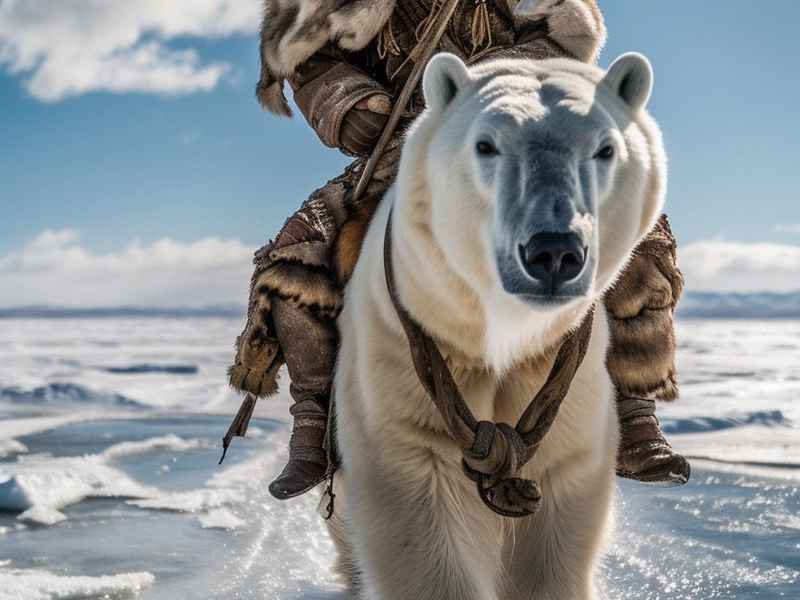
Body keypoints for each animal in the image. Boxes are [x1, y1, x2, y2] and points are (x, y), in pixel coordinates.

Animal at [327, 51, 667, 600]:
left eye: (605, 149)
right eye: (485, 145)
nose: (553, 252)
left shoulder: (564, 382)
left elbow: (553, 541)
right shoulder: (399, 367)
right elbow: (418, 535)